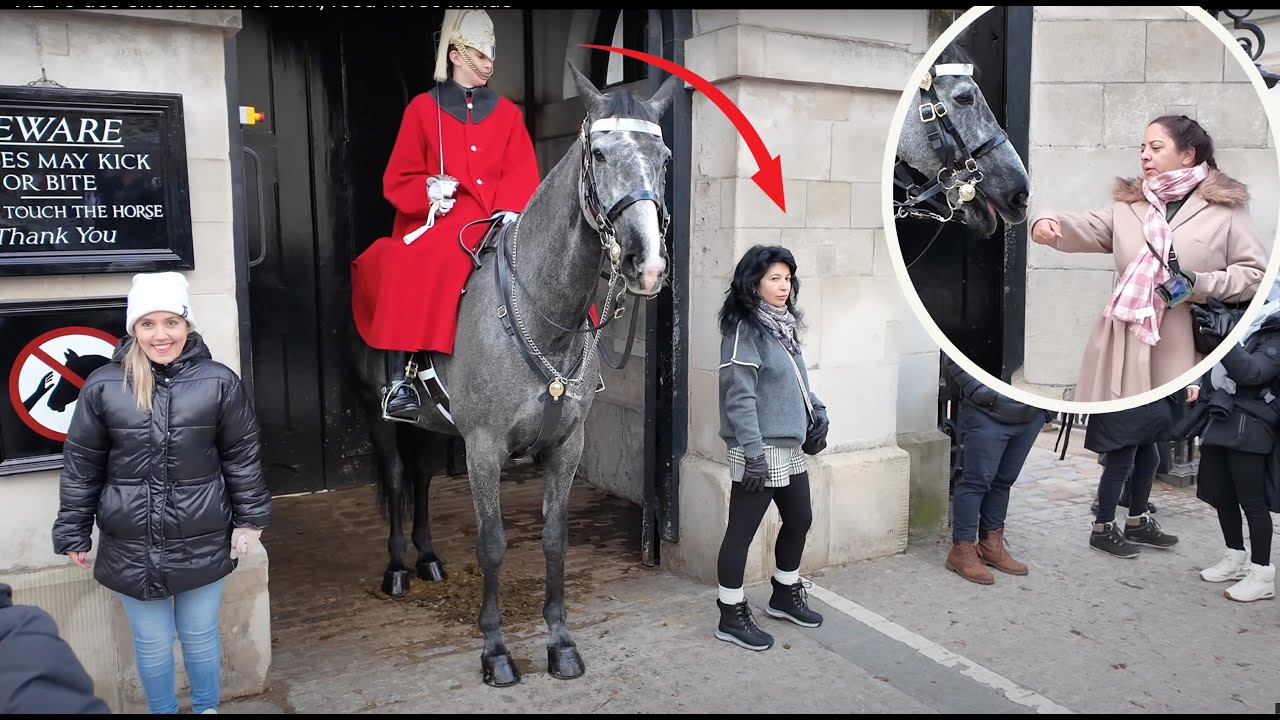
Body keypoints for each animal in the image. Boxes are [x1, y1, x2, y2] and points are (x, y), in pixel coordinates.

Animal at [348, 63, 680, 688]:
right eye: (599, 153)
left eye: (665, 157)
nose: (646, 264)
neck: (542, 309)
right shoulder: (483, 447)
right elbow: (494, 544)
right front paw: (496, 650)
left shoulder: (565, 446)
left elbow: (554, 540)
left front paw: (560, 642)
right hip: (381, 417)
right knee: (401, 477)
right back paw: (399, 568)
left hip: (434, 425)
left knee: (422, 478)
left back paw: (428, 559)